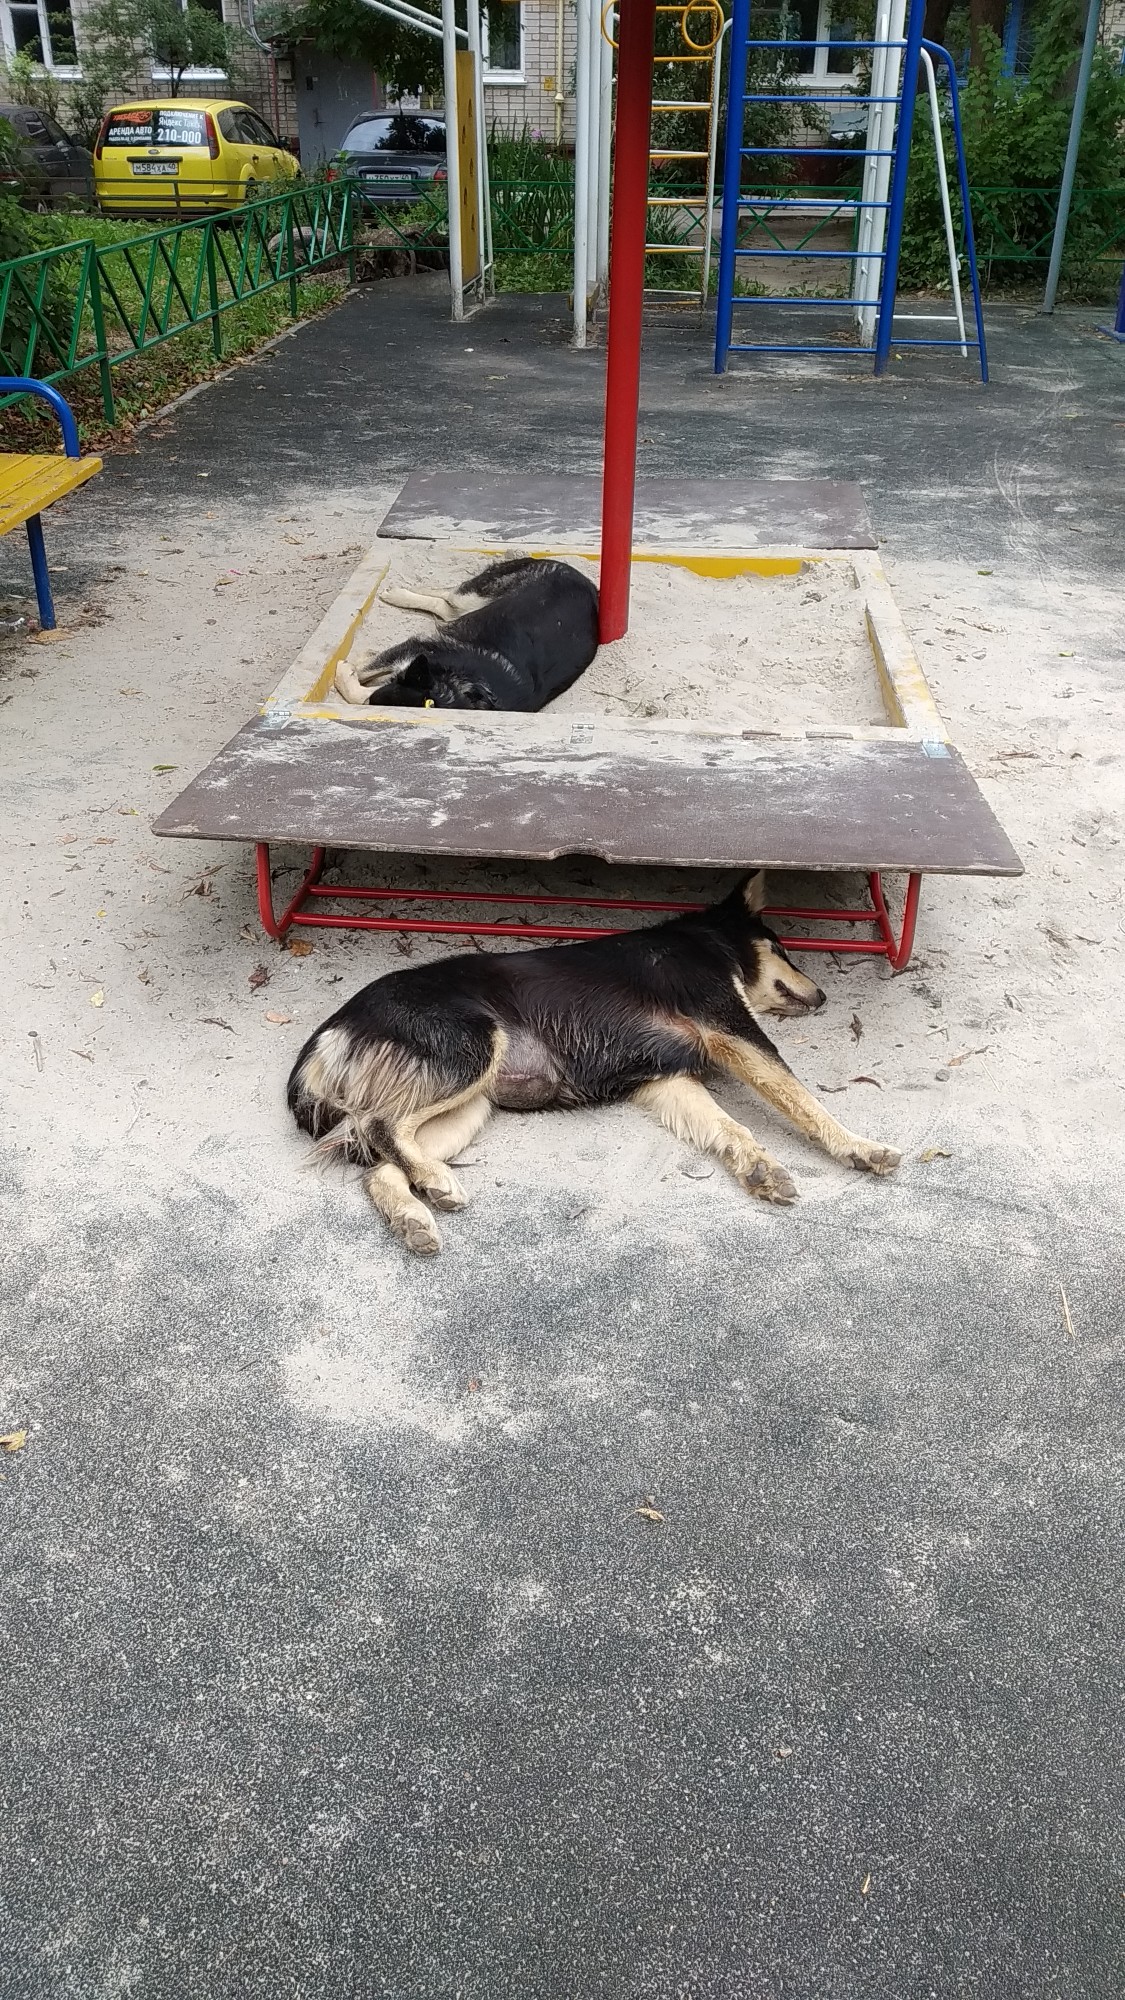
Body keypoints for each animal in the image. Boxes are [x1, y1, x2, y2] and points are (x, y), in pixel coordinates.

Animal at [287, 873, 901, 1255]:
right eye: (781, 949)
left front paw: (758, 1167)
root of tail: (333, 1026)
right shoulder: (734, 1031)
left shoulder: (666, 1079)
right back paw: (432, 1184)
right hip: (473, 1049)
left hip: (468, 1106)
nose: (822, 995)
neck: (707, 943)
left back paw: (416, 1214)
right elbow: (805, 1104)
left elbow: (731, 1128)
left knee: (380, 1165)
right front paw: (860, 1148)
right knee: (382, 1127)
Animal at [334, 556, 599, 711]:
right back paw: (399, 593)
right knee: (448, 594)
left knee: (446, 608)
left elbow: (358, 691)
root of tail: (588, 582)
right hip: (474, 595)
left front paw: (346, 671)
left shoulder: (413, 651)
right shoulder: (414, 649)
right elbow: (367, 669)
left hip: (470, 603)